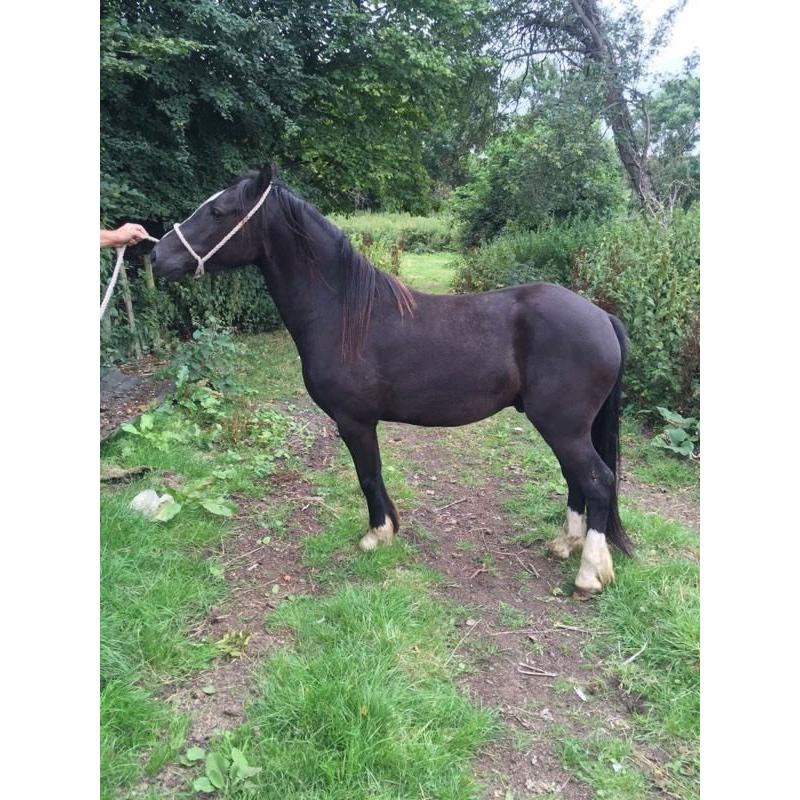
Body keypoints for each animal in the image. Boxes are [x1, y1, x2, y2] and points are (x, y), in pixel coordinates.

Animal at [151, 163, 633, 596]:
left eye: (219, 212)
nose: (157, 256)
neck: (343, 313)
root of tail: (602, 317)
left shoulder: (354, 421)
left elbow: (368, 475)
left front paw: (375, 535)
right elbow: (376, 474)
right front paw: (389, 528)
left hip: (562, 427)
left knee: (597, 481)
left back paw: (589, 574)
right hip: (567, 429)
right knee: (577, 480)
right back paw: (564, 544)